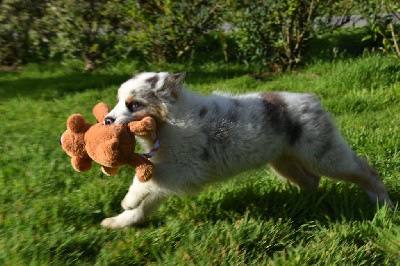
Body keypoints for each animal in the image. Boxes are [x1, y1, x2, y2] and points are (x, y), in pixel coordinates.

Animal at [99, 71, 390, 229]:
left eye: (134, 105)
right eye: (118, 101)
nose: (107, 121)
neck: (169, 121)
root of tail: (311, 99)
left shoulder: (186, 171)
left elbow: (148, 182)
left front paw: (127, 200)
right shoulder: (171, 174)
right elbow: (146, 203)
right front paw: (120, 221)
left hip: (324, 155)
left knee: (365, 170)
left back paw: (383, 205)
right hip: (284, 161)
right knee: (311, 180)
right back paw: (304, 205)